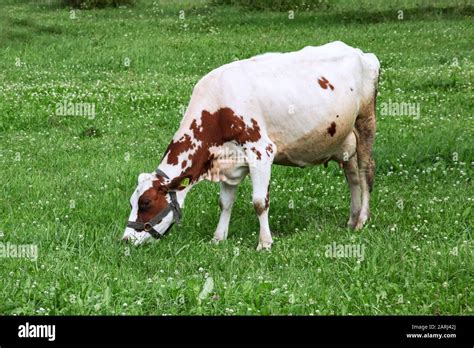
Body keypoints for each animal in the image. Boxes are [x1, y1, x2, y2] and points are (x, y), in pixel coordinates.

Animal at [123, 40, 382, 249]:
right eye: (132, 201)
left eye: (146, 203)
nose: (125, 239)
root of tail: (361, 52)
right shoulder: (227, 160)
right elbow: (225, 203)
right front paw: (218, 238)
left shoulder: (261, 151)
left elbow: (259, 202)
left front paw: (264, 243)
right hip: (344, 139)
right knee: (352, 177)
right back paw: (351, 220)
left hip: (365, 120)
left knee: (365, 170)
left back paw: (362, 220)